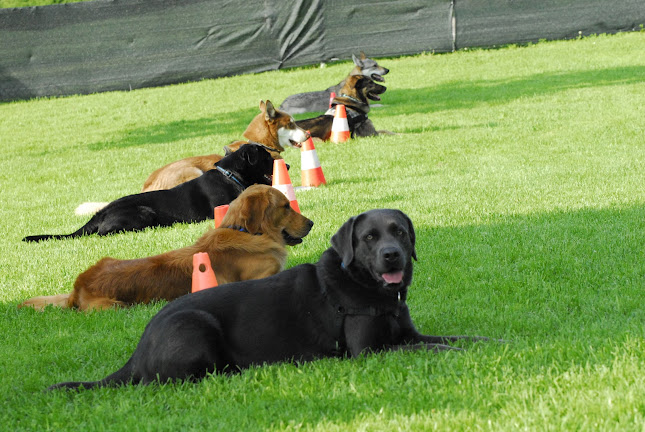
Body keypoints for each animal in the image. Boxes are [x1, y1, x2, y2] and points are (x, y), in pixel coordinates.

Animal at [19, 185, 312, 310]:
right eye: (286, 206)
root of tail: (78, 287)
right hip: (115, 306)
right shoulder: (262, 275)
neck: (244, 231)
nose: (311, 223)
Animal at [23, 143, 272, 241]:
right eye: (268, 158)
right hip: (144, 213)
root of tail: (101, 212)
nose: (281, 164)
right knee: (103, 233)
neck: (230, 174)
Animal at [50, 210, 490, 392]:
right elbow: (435, 349)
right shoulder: (370, 352)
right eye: (369, 238)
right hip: (195, 325)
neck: (364, 286)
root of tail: (138, 351)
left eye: (399, 231)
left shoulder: (411, 334)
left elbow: (459, 339)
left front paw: (492, 343)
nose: (392, 255)